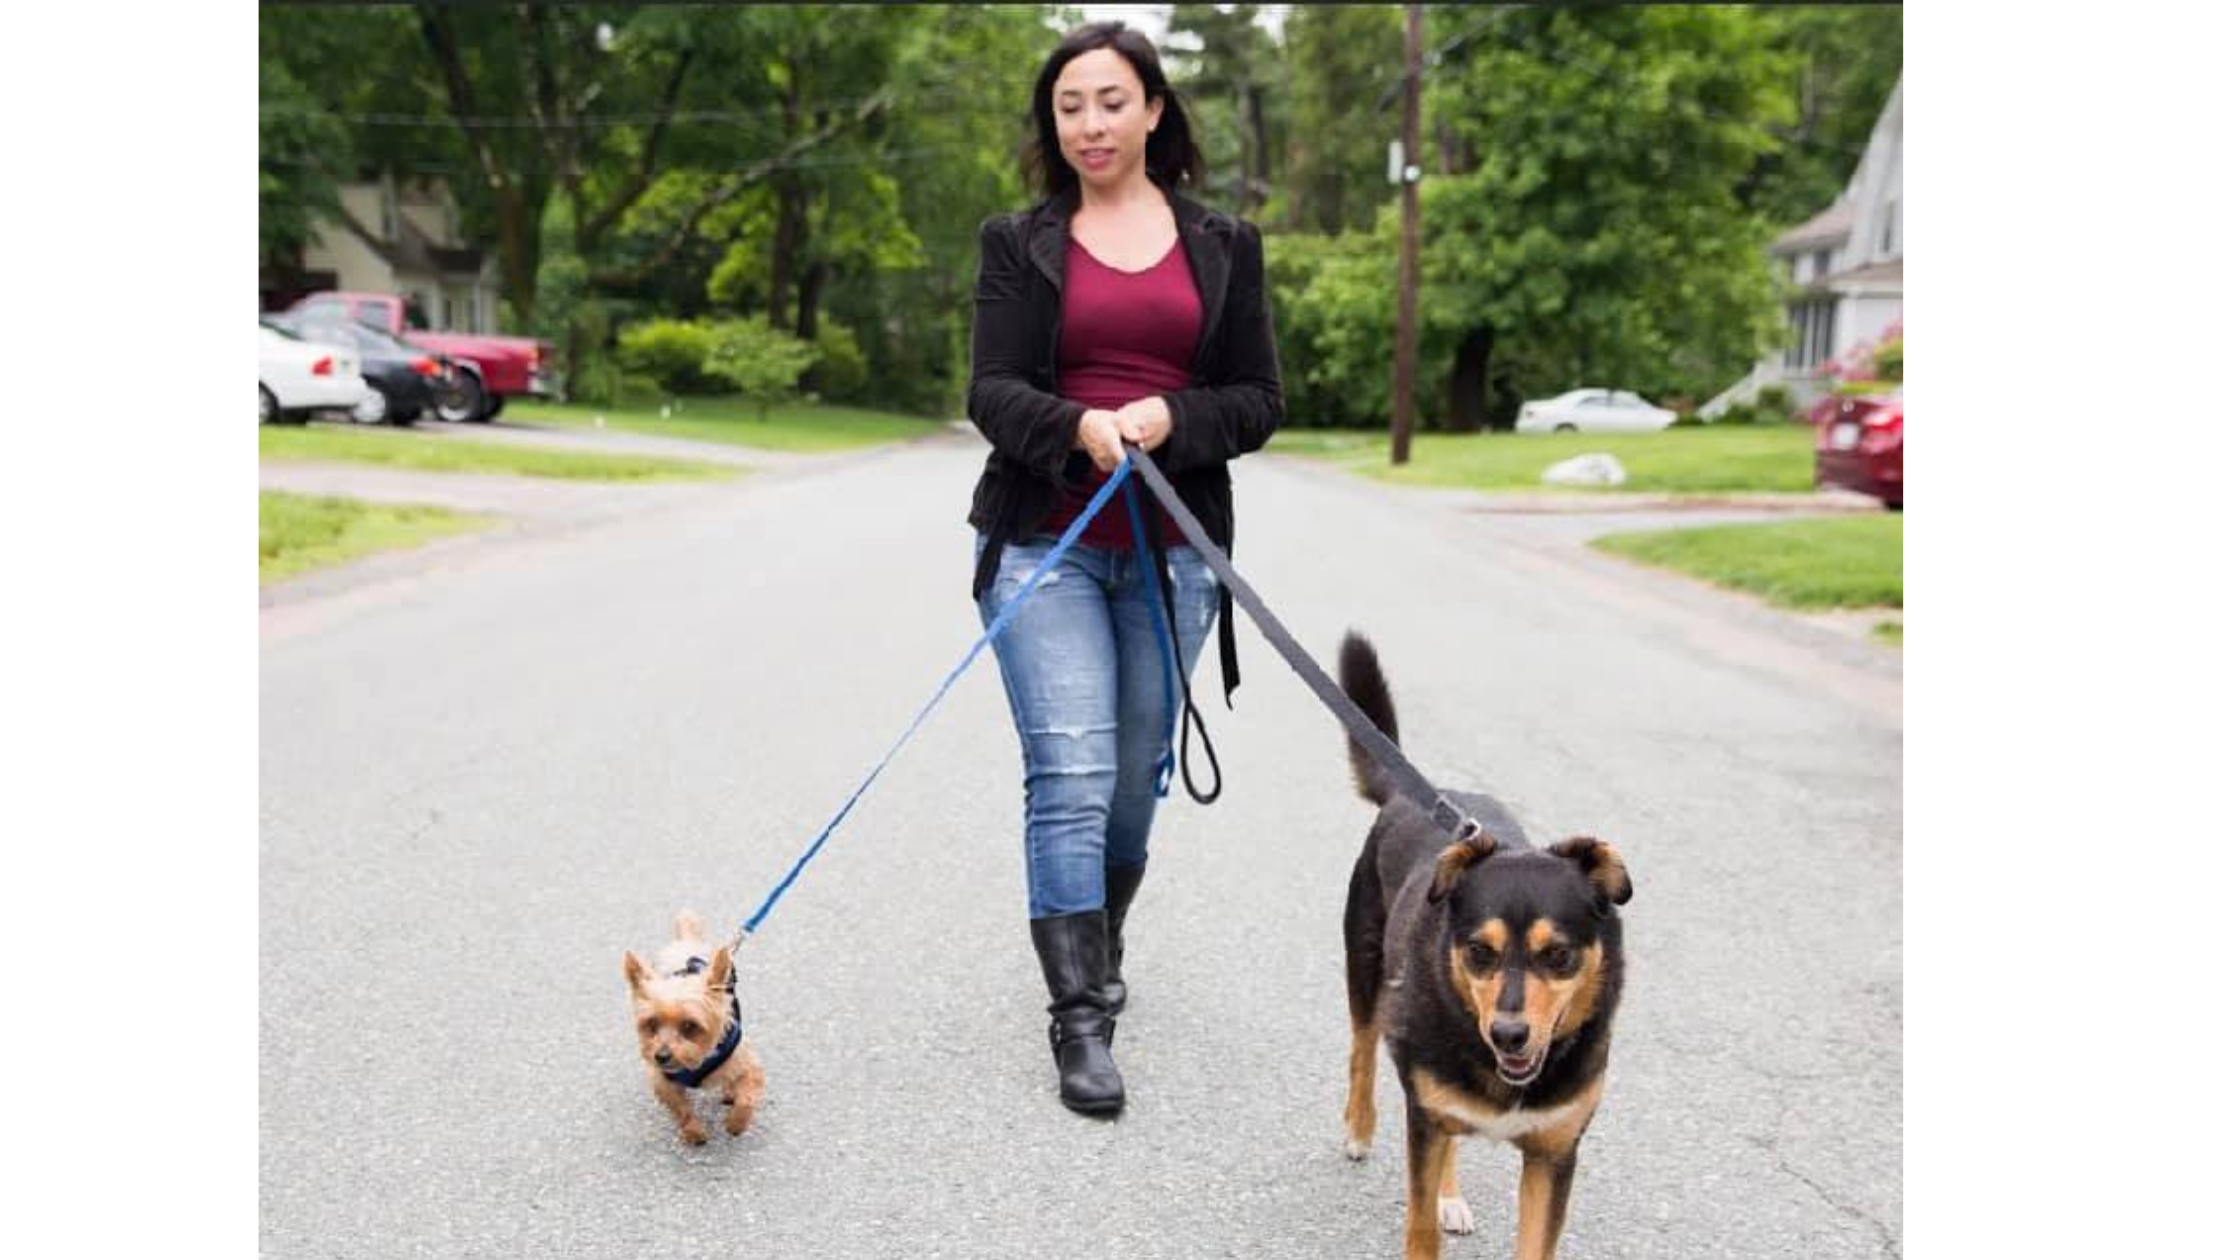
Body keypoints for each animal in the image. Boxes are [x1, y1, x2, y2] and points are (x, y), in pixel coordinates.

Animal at [627, 905, 766, 1143]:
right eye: (652, 1023)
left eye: (689, 1026)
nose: (661, 1056)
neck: (697, 1062)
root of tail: (686, 943)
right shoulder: (662, 1080)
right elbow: (680, 1108)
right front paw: (694, 1133)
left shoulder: (749, 1066)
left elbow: (747, 1098)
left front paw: (736, 1124)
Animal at [1335, 636, 1639, 1255]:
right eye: (1480, 951)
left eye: (1559, 955)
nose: (1508, 1034)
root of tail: (1415, 795)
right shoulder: (1424, 1117)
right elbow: (1419, 1227)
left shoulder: (1554, 1154)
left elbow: (1536, 1243)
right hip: (1365, 969)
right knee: (1362, 1049)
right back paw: (1358, 1128)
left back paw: (1450, 1196)